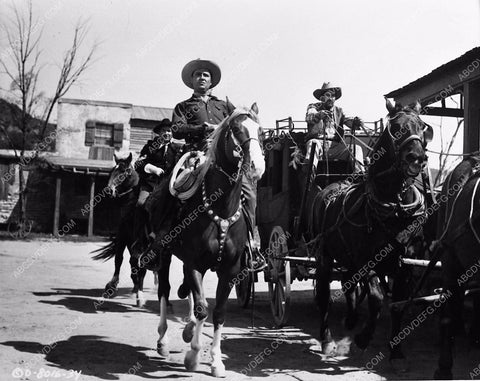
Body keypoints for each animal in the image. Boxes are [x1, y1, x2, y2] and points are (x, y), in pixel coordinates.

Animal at [91, 153, 148, 308]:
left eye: (123, 172)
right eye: (111, 171)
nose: (109, 190)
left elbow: (138, 265)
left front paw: (140, 296)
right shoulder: (124, 236)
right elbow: (119, 259)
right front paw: (111, 285)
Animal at [148, 102, 264, 376]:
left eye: (261, 131)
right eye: (237, 129)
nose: (257, 166)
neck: (221, 209)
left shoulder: (230, 270)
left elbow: (218, 313)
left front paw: (217, 361)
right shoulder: (194, 264)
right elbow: (202, 307)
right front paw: (193, 356)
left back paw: (188, 329)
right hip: (165, 255)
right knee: (165, 291)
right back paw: (163, 341)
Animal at [310, 99, 434, 366]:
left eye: (422, 126)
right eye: (395, 127)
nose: (416, 157)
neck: (395, 207)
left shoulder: (406, 265)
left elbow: (397, 304)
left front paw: (396, 349)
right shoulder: (369, 262)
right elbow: (377, 299)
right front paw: (363, 338)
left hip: (348, 258)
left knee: (348, 282)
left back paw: (351, 319)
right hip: (324, 255)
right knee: (324, 294)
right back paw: (327, 339)